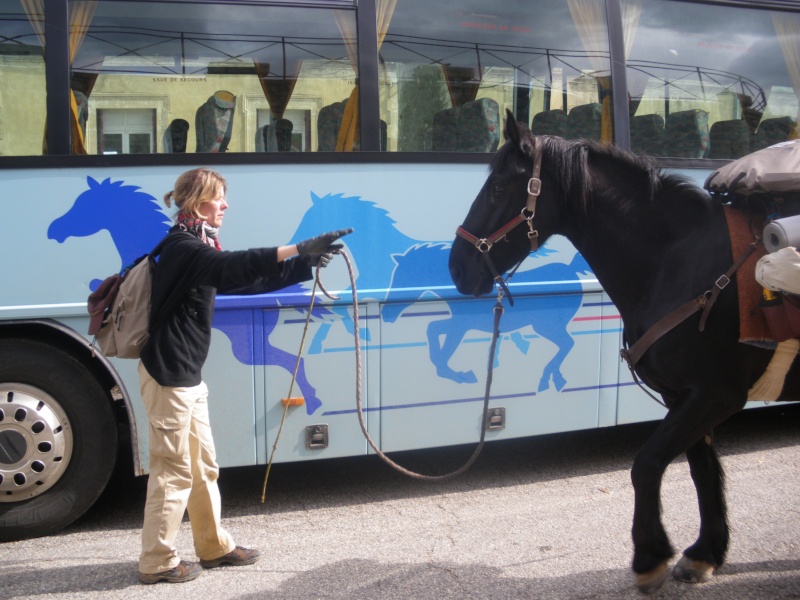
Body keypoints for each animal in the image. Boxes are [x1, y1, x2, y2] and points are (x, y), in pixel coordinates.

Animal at [446, 112, 796, 596]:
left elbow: (646, 464)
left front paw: (649, 556)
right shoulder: (684, 395)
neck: (679, 260)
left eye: (498, 187)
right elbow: (702, 470)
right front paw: (704, 553)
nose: (456, 267)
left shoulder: (716, 394)